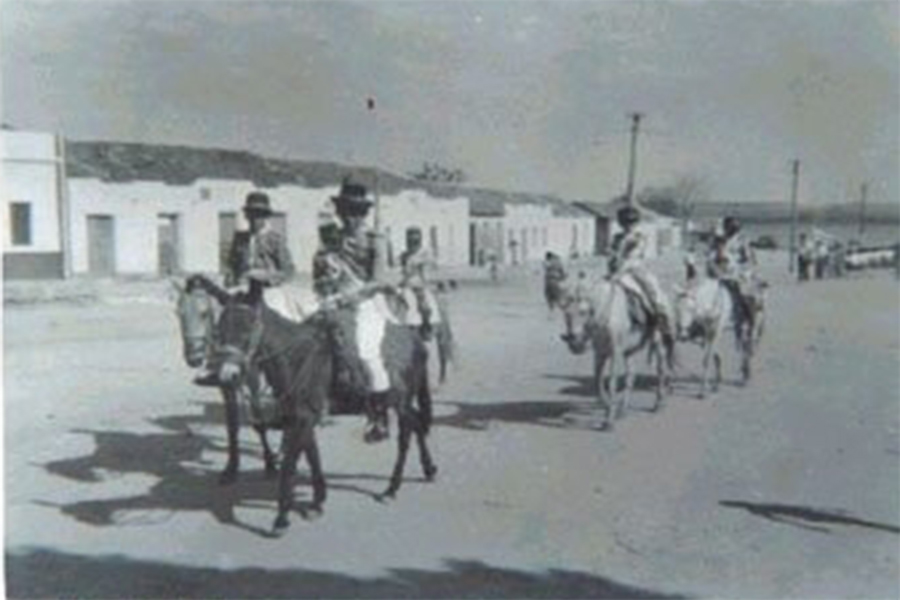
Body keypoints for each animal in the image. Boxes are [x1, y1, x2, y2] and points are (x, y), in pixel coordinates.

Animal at [192, 276, 438, 536]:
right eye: (219, 328)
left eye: (248, 327)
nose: (226, 375)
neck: (298, 357)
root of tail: (415, 341)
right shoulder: (302, 417)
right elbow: (312, 456)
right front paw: (318, 501)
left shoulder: (302, 419)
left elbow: (290, 465)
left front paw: (281, 518)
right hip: (401, 401)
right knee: (418, 423)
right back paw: (428, 469)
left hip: (401, 402)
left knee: (405, 437)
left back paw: (392, 488)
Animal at [560, 274, 672, 434]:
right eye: (566, 313)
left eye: (583, 312)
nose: (574, 344)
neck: (605, 315)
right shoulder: (600, 353)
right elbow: (598, 382)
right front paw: (608, 406)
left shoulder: (615, 353)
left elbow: (612, 383)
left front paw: (609, 421)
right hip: (629, 352)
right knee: (631, 376)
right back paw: (623, 410)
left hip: (657, 342)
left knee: (661, 370)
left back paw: (659, 403)